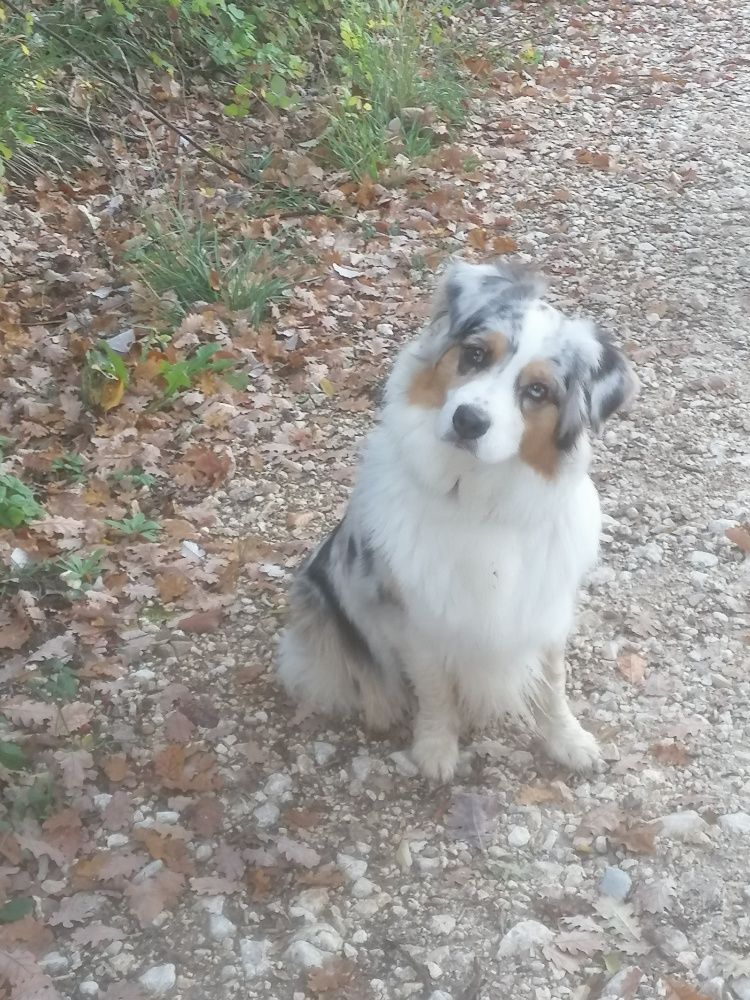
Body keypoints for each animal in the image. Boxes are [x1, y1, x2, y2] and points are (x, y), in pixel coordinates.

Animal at [280, 260, 636, 780]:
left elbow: (554, 682)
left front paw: (568, 740)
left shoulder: (545, 608)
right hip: (316, 597)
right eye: (475, 354)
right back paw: (380, 705)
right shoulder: (418, 618)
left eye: (537, 390)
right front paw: (435, 747)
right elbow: (434, 689)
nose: (468, 420)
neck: (476, 496)